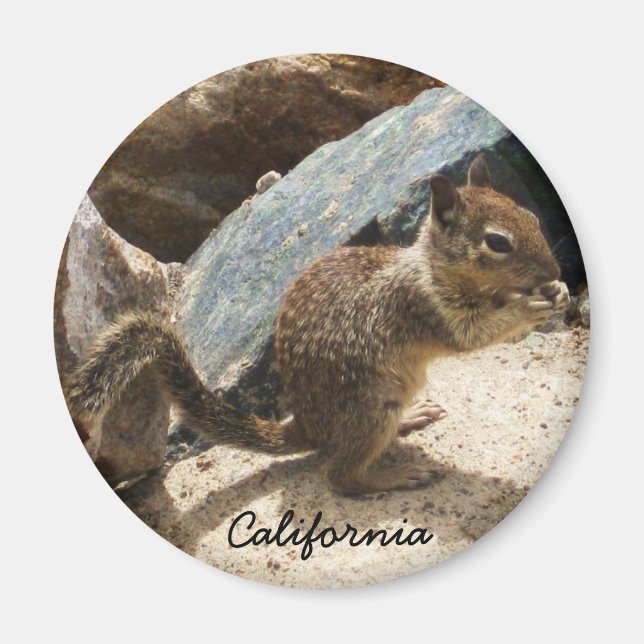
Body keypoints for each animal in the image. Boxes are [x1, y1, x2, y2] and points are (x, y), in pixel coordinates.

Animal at [65, 154, 569, 495]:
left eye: (529, 216)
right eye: (497, 243)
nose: (555, 269)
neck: (429, 268)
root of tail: (305, 427)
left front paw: (557, 294)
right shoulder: (428, 309)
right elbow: (473, 334)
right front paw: (530, 307)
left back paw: (414, 418)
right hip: (373, 408)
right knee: (340, 477)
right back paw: (397, 474)